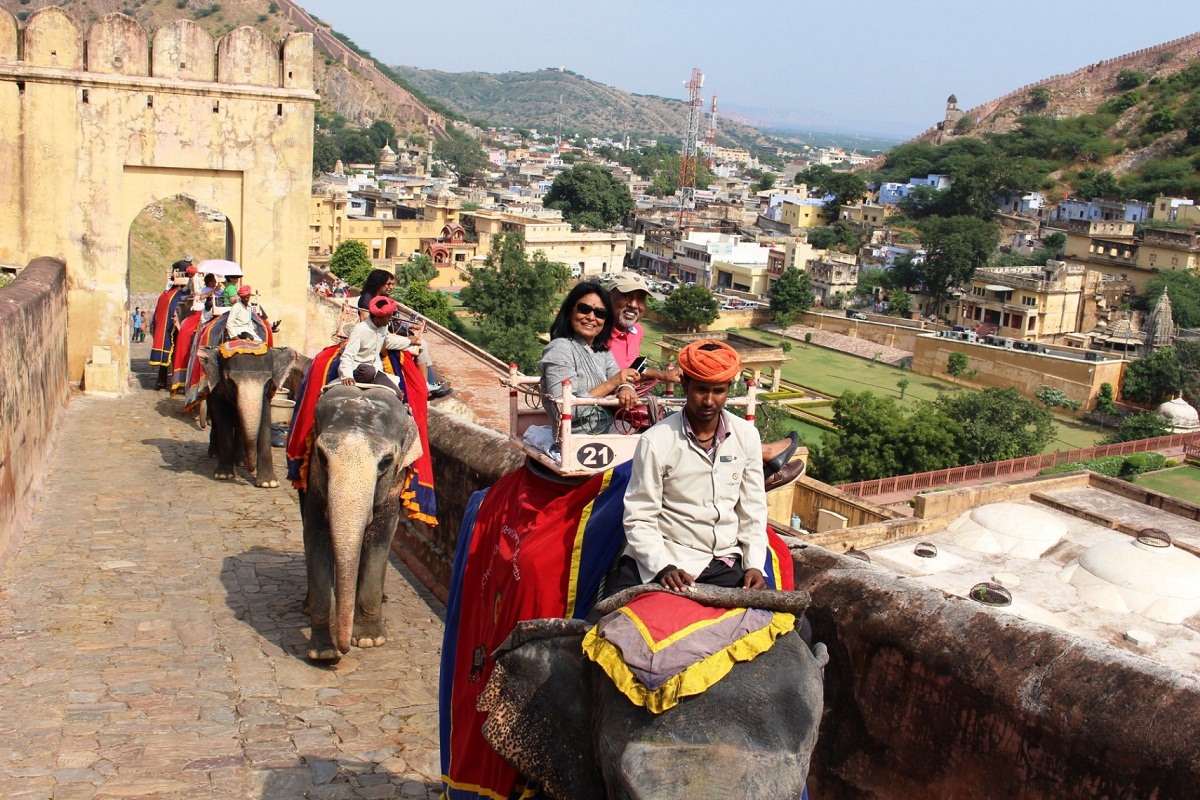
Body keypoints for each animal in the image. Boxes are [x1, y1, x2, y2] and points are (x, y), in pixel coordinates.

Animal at [196, 345, 300, 489]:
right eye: (230, 382)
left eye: (268, 383)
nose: (250, 469)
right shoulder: (219, 391)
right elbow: (223, 422)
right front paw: (223, 476)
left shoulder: (266, 395)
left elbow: (265, 420)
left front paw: (269, 483)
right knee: (216, 422)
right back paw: (215, 455)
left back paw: (240, 461)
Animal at [298, 383, 422, 662]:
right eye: (322, 456)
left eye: (386, 461)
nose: (343, 650)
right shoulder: (313, 476)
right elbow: (315, 535)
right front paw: (323, 653)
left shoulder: (396, 480)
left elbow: (380, 537)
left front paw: (367, 640)